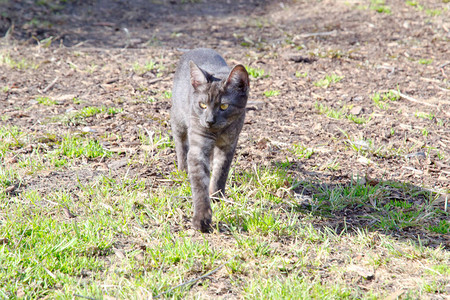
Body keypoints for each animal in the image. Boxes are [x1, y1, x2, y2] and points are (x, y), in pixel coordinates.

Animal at [171, 48, 251, 233]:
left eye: (224, 106)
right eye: (202, 105)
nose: (209, 121)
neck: (217, 132)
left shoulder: (229, 145)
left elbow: (221, 172)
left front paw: (217, 196)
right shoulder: (198, 148)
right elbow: (200, 184)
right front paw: (202, 219)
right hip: (178, 119)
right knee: (180, 144)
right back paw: (182, 169)